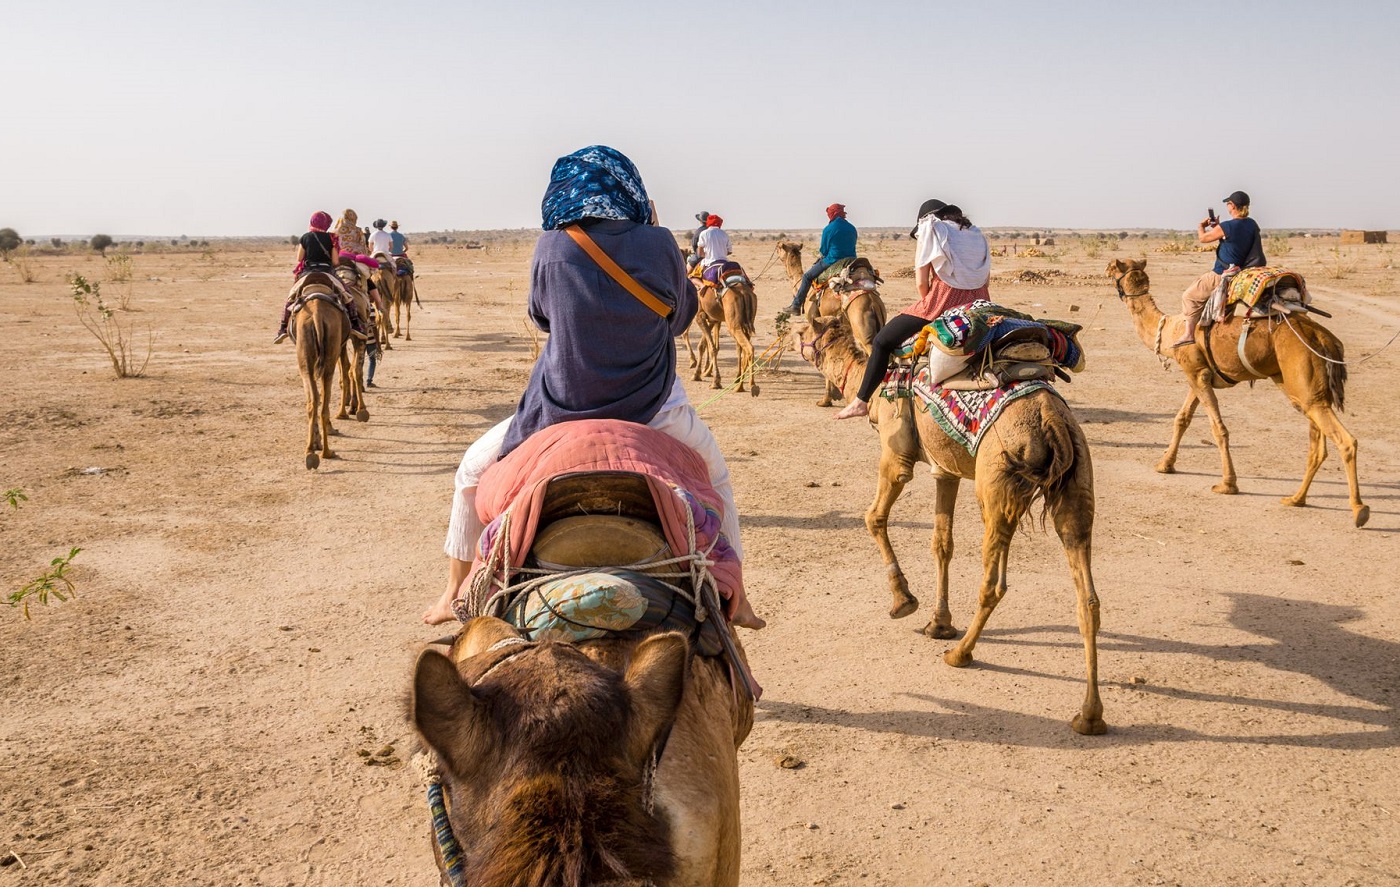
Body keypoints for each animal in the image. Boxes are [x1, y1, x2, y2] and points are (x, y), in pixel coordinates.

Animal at [293, 294, 350, 470]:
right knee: (320, 401)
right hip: (326, 356)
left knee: (314, 401)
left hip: (307, 360)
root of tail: (317, 314)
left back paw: (315, 452)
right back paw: (323, 452)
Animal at [777, 240, 887, 405]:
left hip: (863, 331)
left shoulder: (816, 321)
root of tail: (874, 303)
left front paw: (826, 399)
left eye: (780, 247)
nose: (776, 244)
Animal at [792, 315, 1105, 735]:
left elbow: (873, 518)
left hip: (996, 486)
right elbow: (942, 543)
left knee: (994, 583)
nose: (785, 331)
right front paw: (938, 623)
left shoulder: (896, 455)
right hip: (1077, 484)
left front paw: (904, 601)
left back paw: (960, 653)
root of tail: (1051, 422)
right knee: (1087, 597)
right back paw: (1089, 715)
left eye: (803, 330)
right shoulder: (946, 469)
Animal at [1106, 259, 1367, 527]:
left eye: (1112, 268)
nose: (1105, 272)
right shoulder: (1198, 374)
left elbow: (1218, 429)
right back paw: (1296, 499)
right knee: (1318, 441)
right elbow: (1182, 419)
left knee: (1345, 441)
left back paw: (1359, 510)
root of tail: (1325, 338)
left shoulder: (1196, 373)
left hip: (1303, 382)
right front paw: (1165, 465)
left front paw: (1227, 484)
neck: (1171, 330)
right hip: (1305, 389)